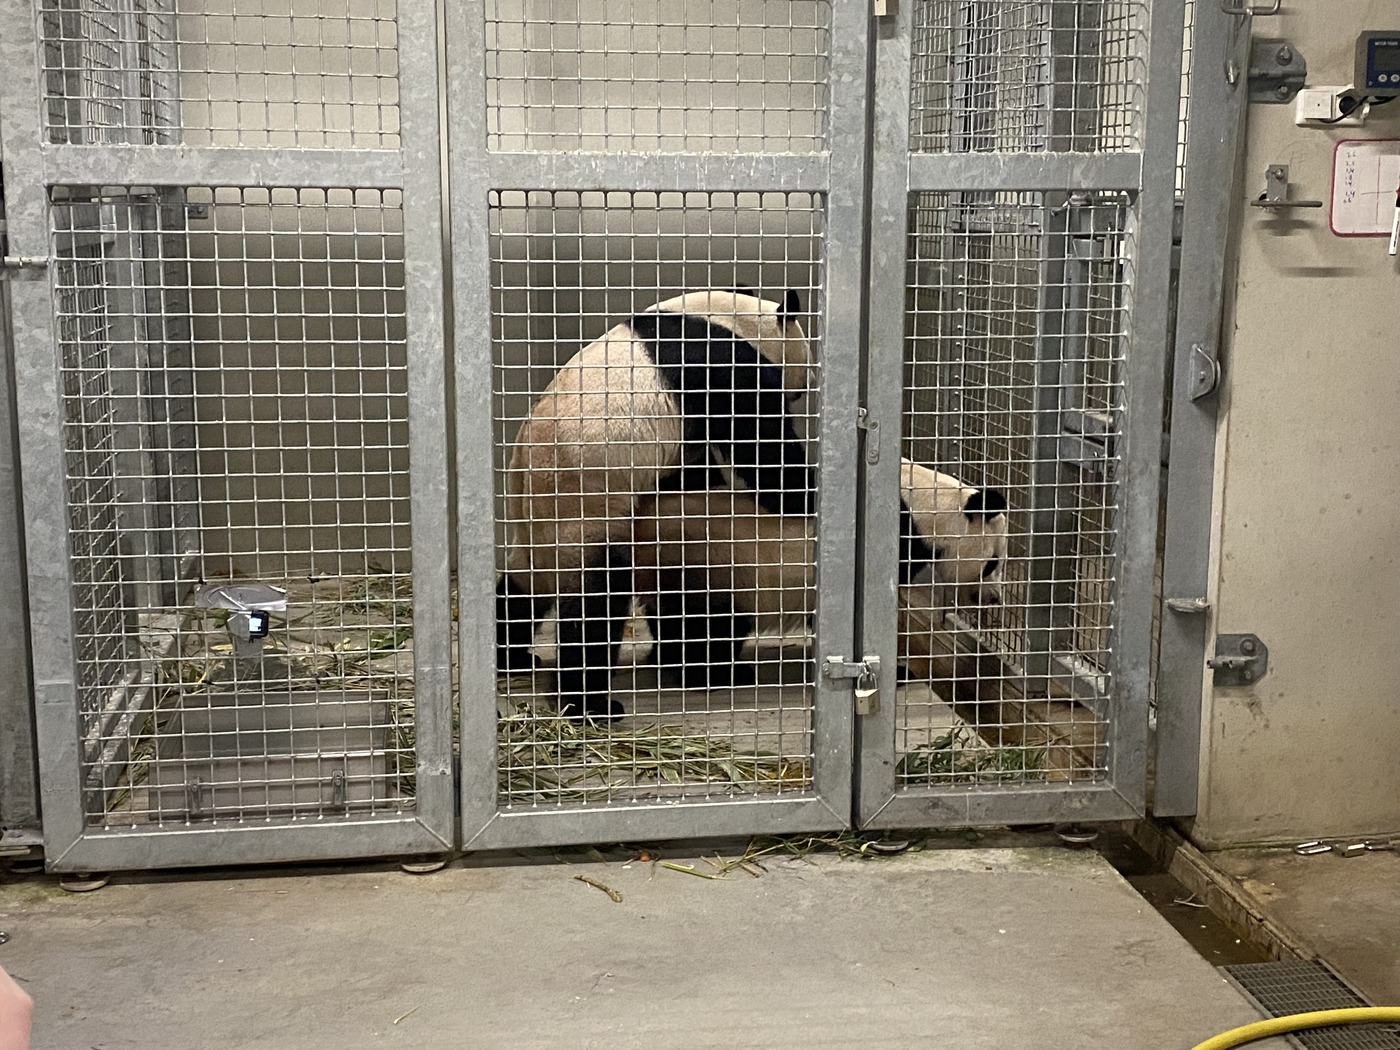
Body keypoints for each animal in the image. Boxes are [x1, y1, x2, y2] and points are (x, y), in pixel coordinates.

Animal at [495, 288, 817, 722]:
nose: (807, 385)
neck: (731, 319)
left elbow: (690, 472)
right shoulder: (718, 367)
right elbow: (760, 447)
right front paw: (804, 494)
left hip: (535, 531)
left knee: (522, 590)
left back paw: (508, 656)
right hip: (586, 512)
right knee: (595, 605)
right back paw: (591, 704)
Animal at [632, 459, 1008, 691]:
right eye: (993, 563)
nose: (994, 598)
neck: (928, 509)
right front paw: (899, 672)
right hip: (713, 563)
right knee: (706, 625)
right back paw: (718, 674)